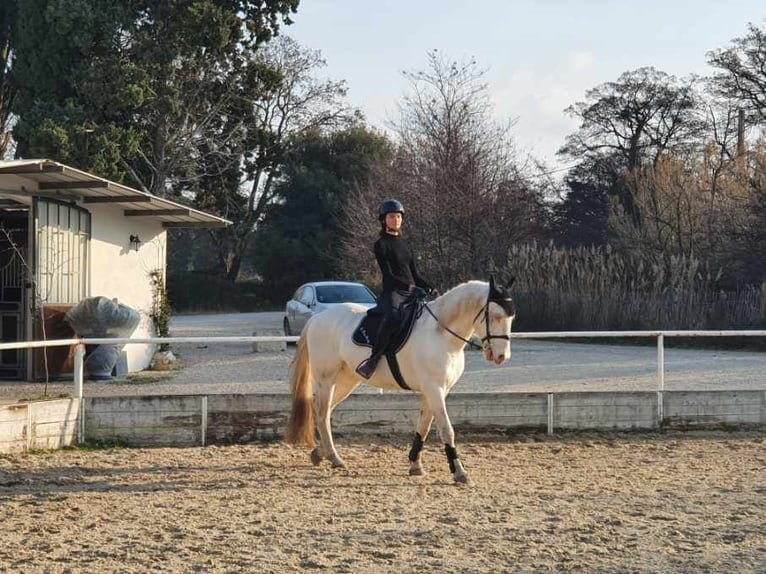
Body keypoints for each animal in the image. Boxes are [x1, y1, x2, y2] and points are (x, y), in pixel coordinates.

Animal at [284, 276, 516, 484]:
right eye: (495, 316)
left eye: (511, 319)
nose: (502, 357)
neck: (442, 334)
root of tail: (316, 319)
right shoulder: (434, 389)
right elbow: (446, 430)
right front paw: (459, 473)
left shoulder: (436, 390)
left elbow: (424, 426)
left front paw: (415, 465)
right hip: (326, 378)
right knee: (322, 412)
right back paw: (334, 457)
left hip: (346, 380)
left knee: (325, 411)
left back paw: (320, 453)